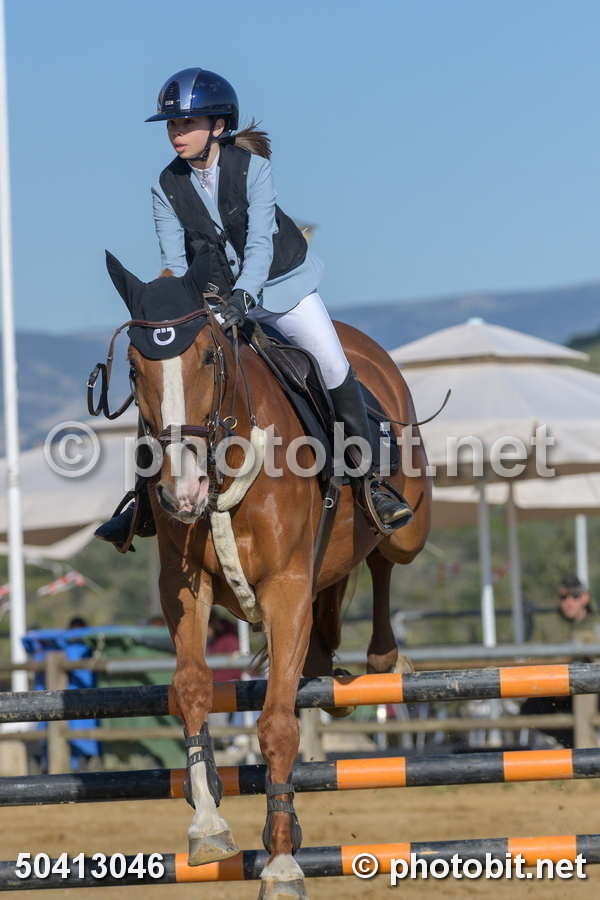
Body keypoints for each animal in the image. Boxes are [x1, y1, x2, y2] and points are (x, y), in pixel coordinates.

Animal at [101, 248, 431, 900]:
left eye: (209, 355)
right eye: (132, 366)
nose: (181, 491)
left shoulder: (284, 591)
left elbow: (277, 725)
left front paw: (280, 864)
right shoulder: (184, 587)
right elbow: (192, 688)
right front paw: (208, 823)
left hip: (410, 524)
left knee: (385, 556)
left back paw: (383, 657)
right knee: (331, 603)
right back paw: (328, 667)